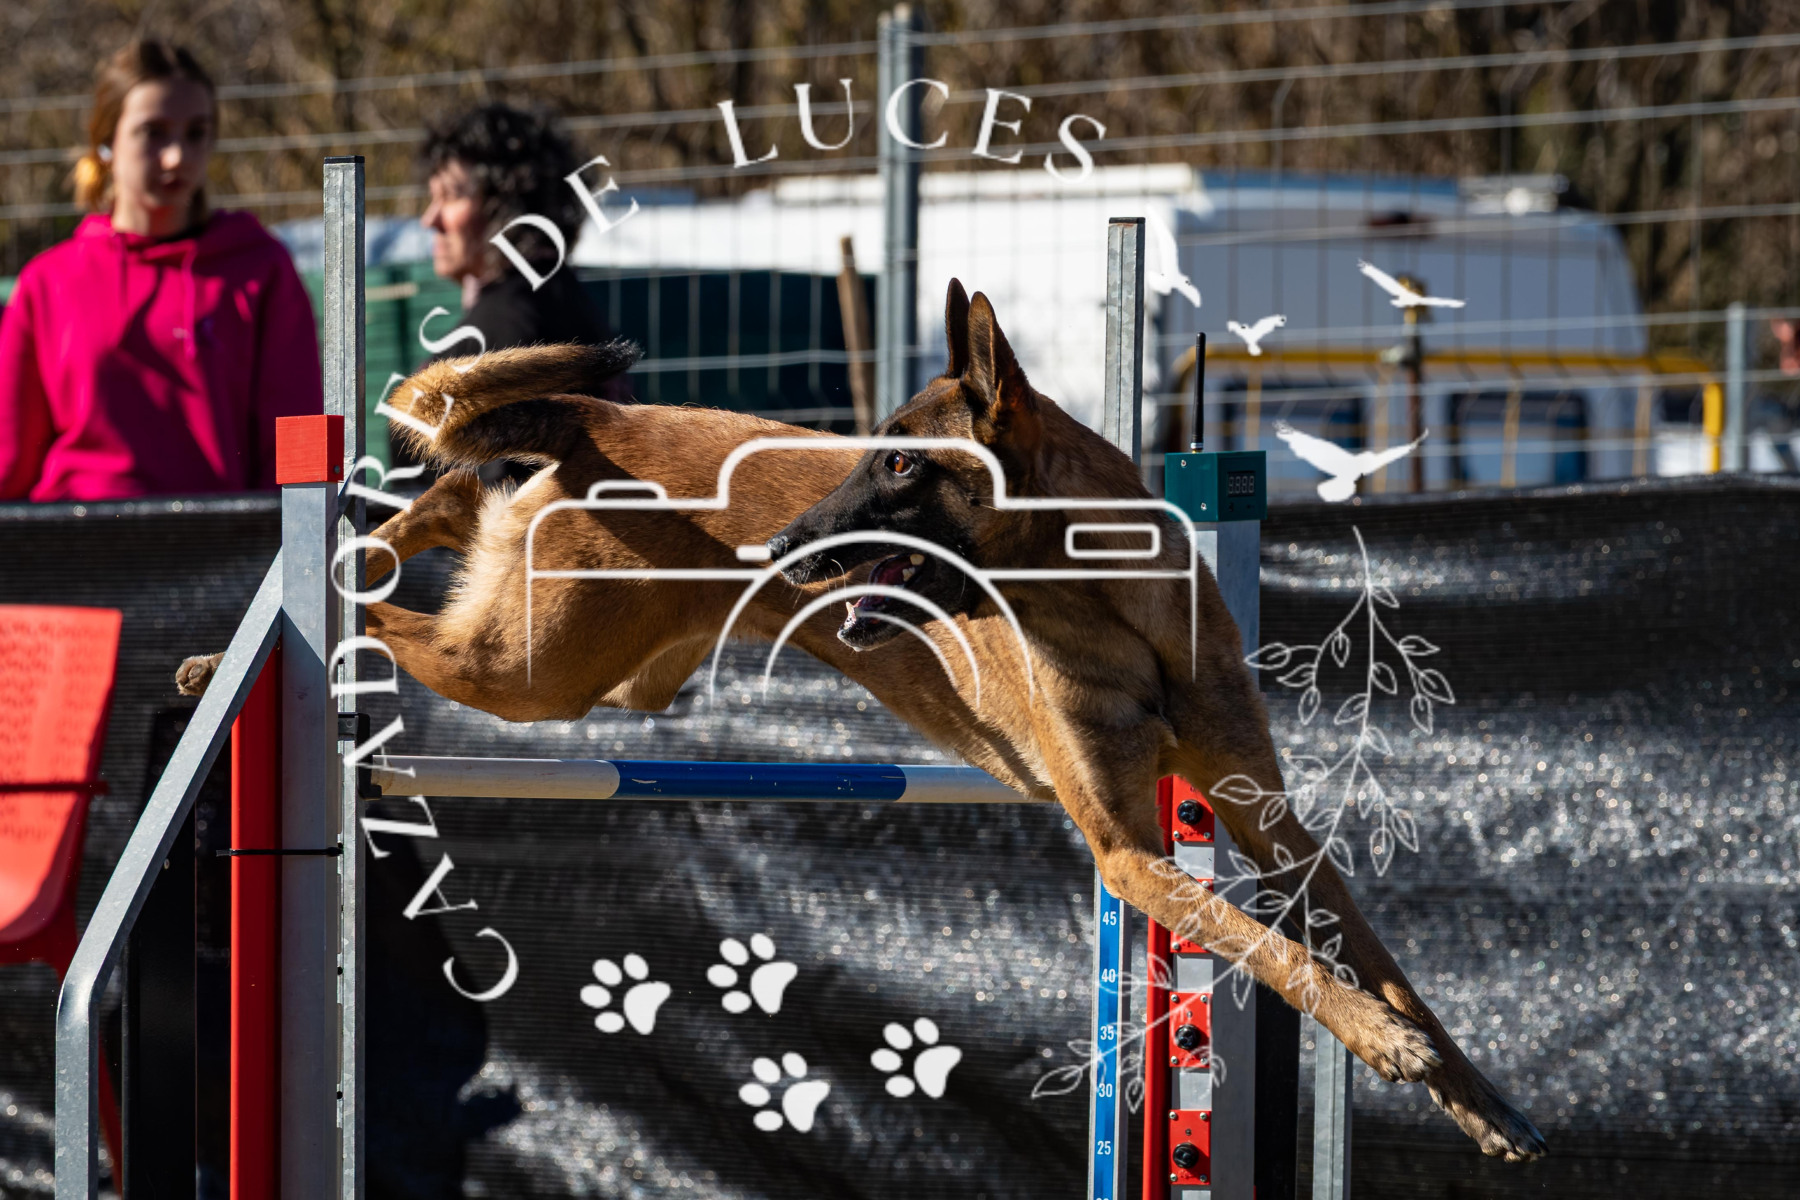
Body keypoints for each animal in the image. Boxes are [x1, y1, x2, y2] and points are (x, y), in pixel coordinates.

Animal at [179, 282, 1545, 1162]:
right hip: (532, 669)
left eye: (899, 464)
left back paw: (371, 537)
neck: (1111, 610)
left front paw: (1473, 1093)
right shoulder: (1127, 854)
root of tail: (603, 419)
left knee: (457, 491)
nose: (781, 545)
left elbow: (1366, 956)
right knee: (381, 598)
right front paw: (1386, 1045)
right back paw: (238, 644)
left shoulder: (1266, 821)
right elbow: (1268, 947)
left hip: (601, 670)